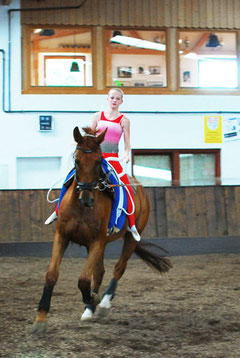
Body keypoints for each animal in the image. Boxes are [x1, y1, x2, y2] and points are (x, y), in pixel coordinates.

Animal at [31, 126, 172, 332]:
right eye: (77, 160)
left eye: (98, 161)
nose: (86, 199)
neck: (81, 207)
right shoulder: (62, 236)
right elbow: (52, 275)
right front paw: (41, 317)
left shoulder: (96, 240)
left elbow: (83, 279)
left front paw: (92, 298)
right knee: (99, 272)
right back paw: (90, 309)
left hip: (128, 238)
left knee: (118, 268)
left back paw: (102, 303)